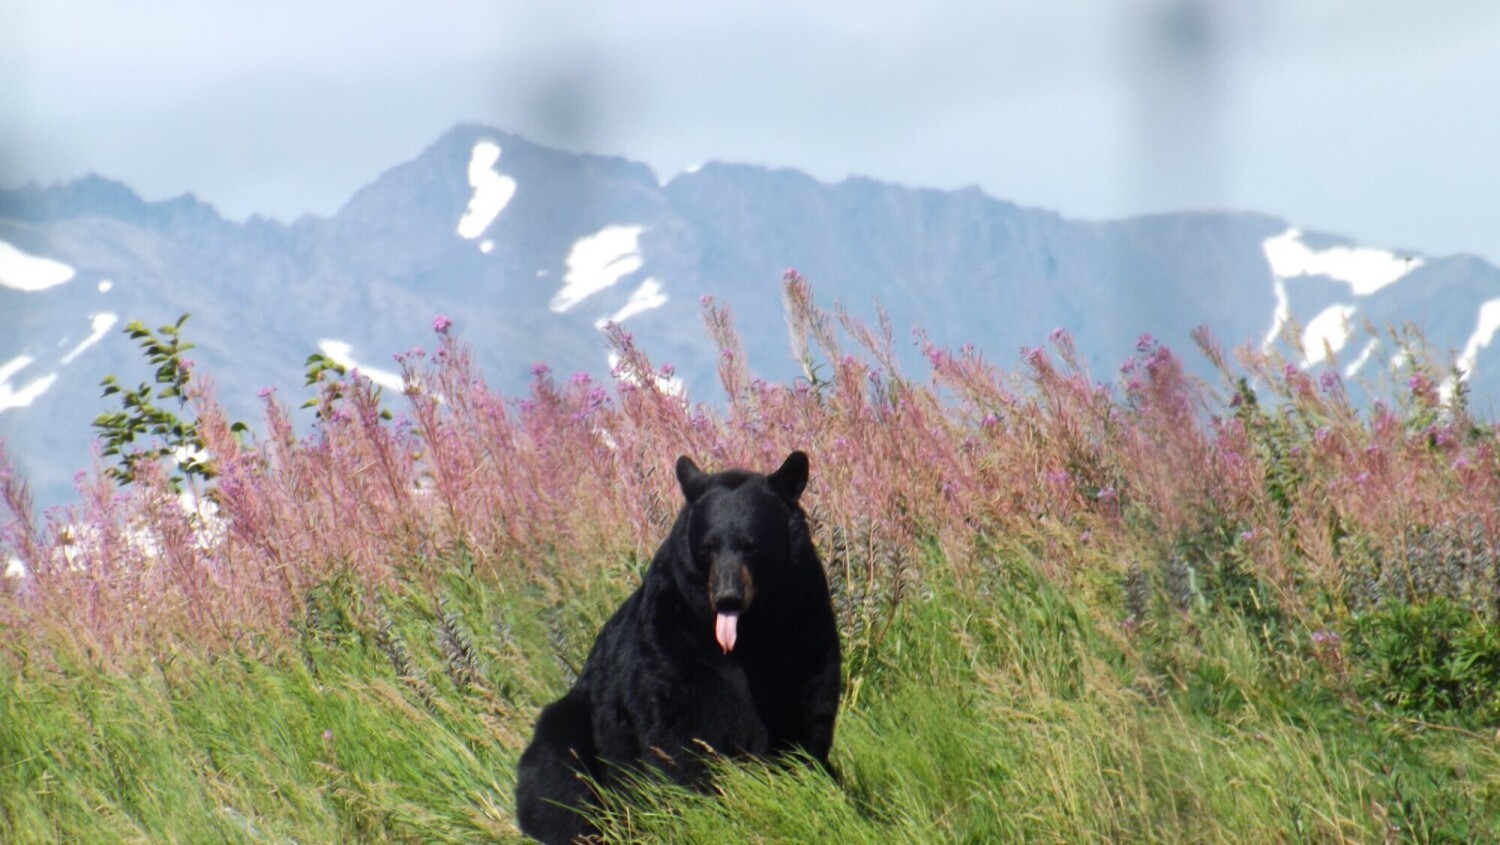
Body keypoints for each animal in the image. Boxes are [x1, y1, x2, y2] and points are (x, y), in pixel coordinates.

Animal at [514, 451, 842, 844]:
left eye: (751, 545)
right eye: (707, 547)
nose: (727, 598)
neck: (748, 636)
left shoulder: (802, 624)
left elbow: (809, 709)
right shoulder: (670, 637)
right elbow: (674, 731)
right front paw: (698, 811)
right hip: (573, 726)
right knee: (560, 779)